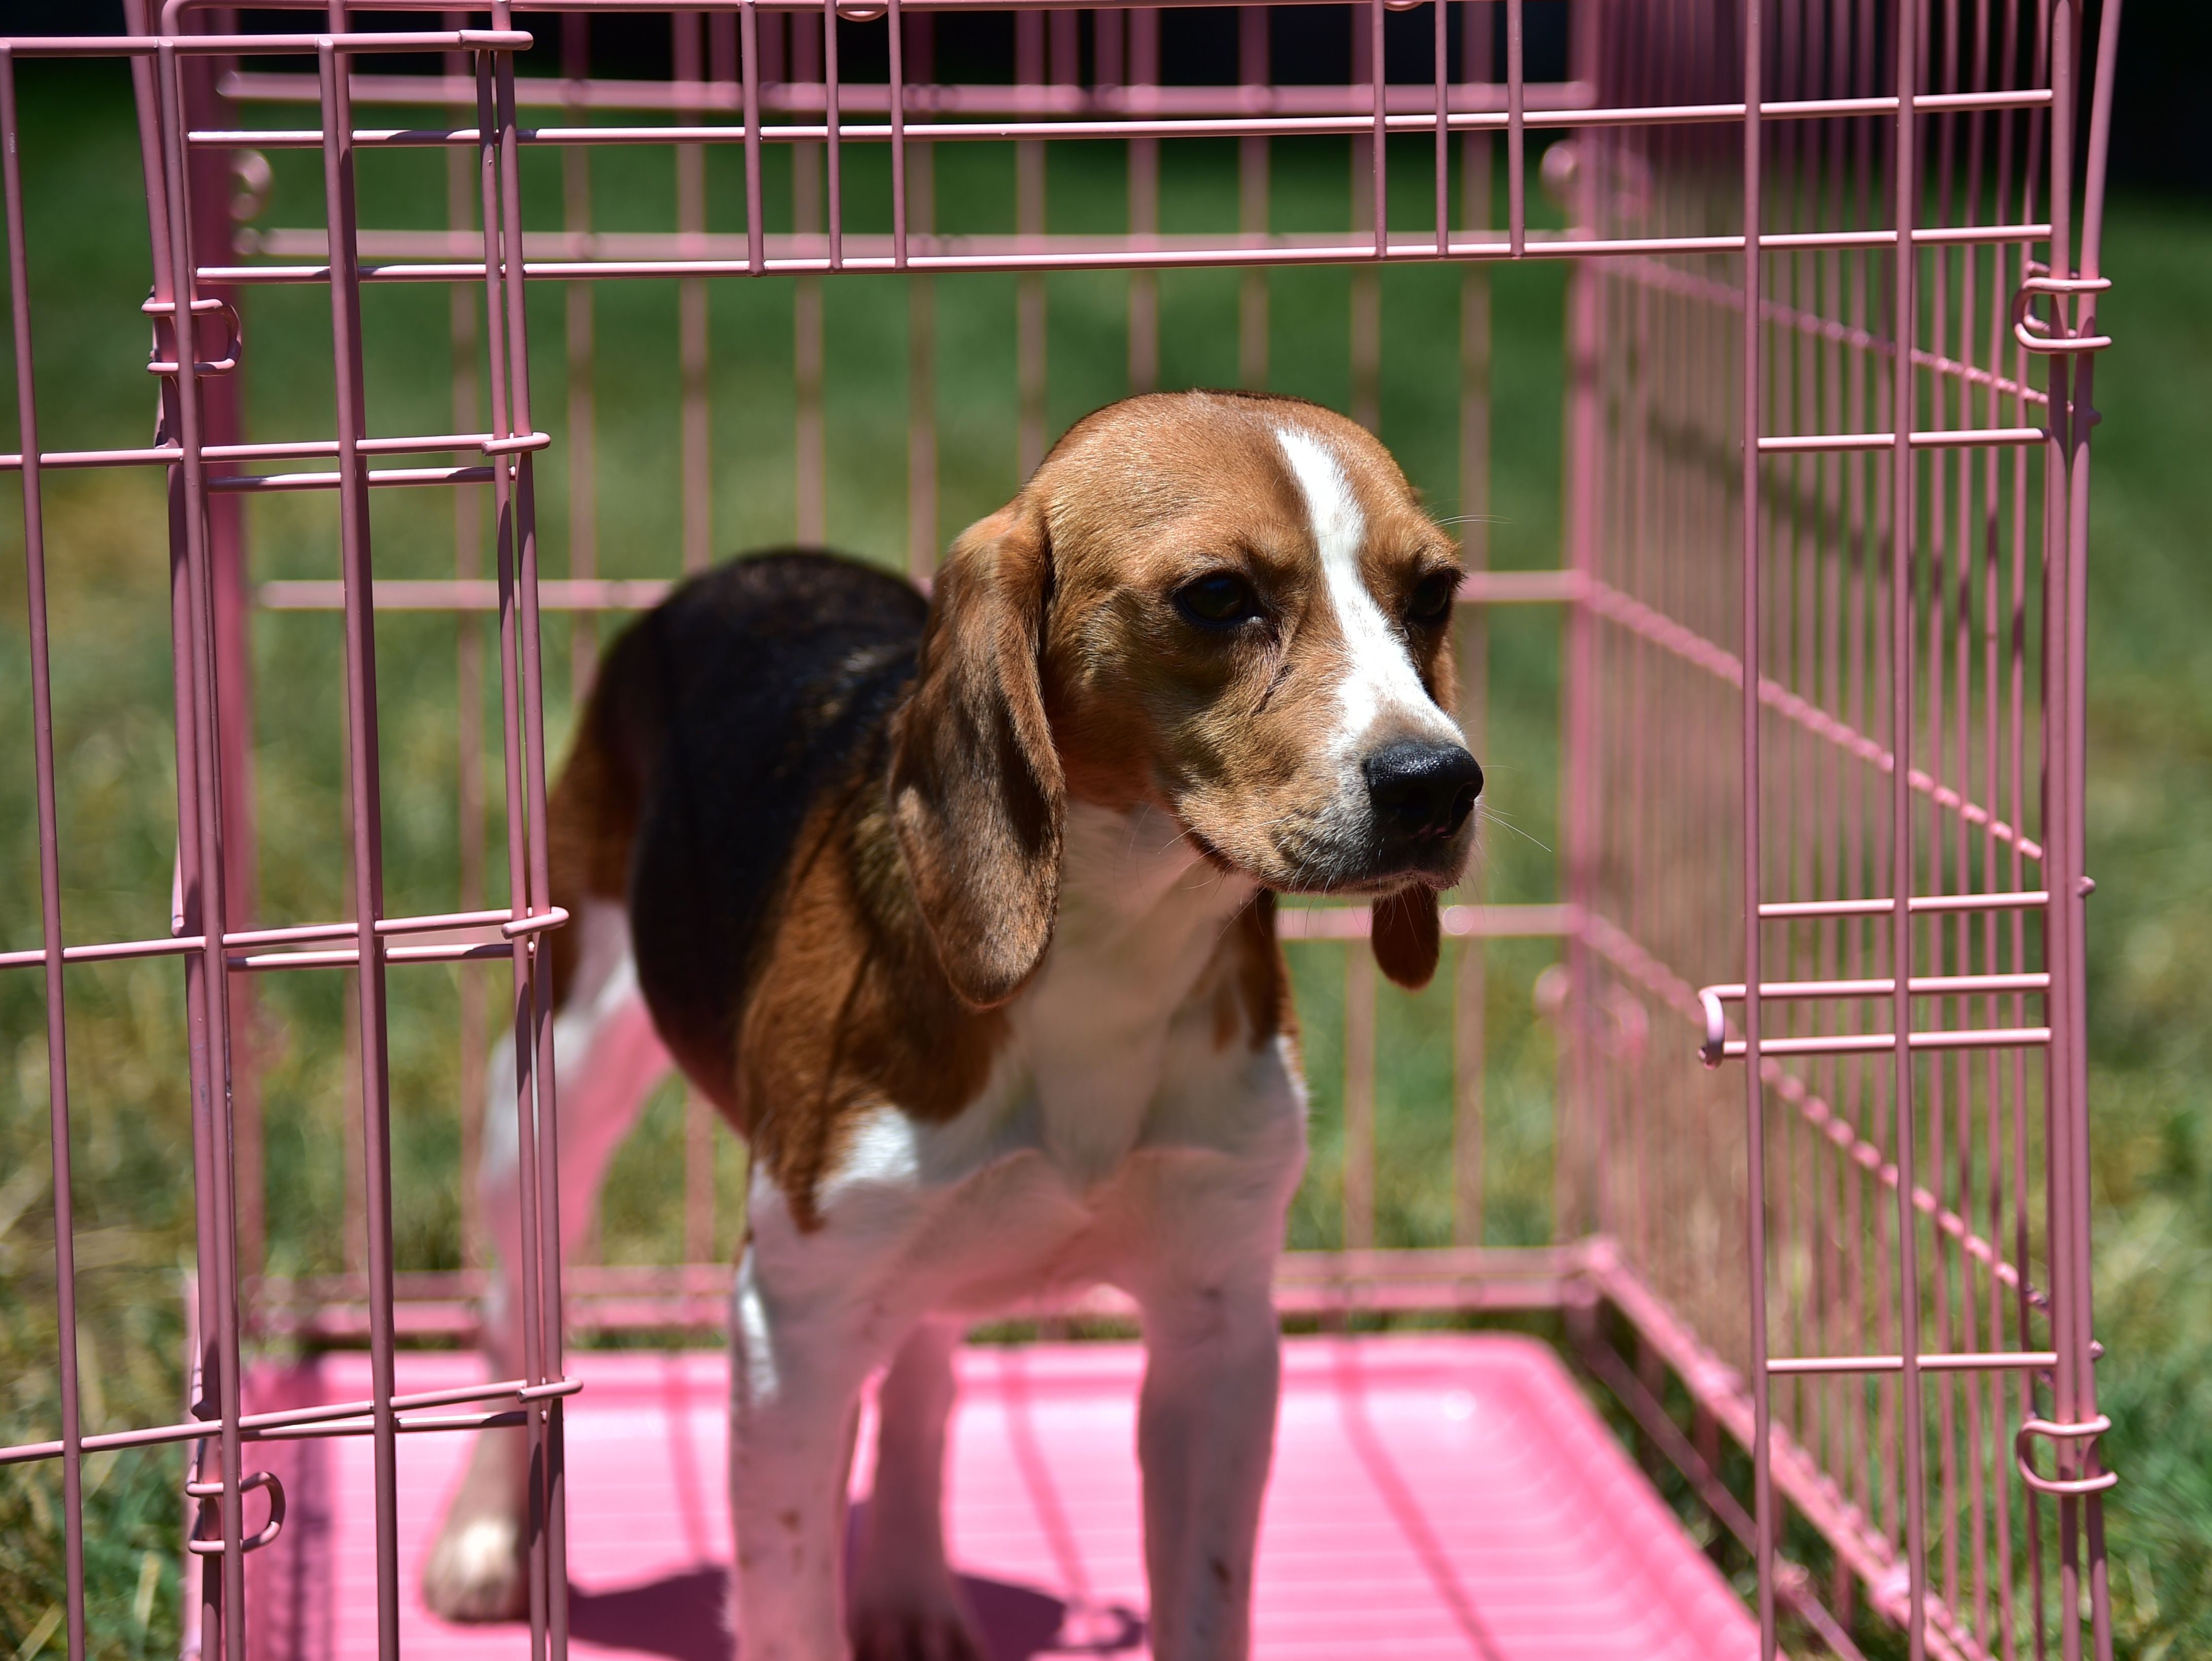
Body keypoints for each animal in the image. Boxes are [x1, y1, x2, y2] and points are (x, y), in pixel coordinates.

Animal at [416, 393, 1486, 1661]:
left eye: (1433, 594)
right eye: (1218, 597)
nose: (1439, 782)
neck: (1115, 950)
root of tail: (754, 564)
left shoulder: (1220, 1335)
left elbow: (1203, 1597)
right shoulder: (790, 1329)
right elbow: (789, 1611)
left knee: (923, 1374)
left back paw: (911, 1582)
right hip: (549, 1097)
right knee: (511, 1315)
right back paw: (487, 1537)